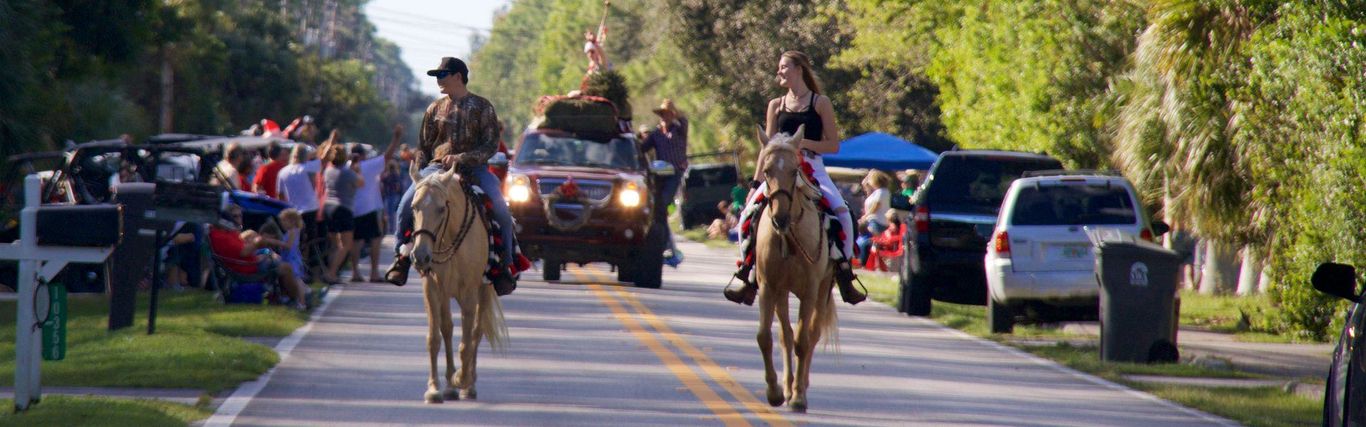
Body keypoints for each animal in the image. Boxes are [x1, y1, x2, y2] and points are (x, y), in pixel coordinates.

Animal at [412, 166, 510, 401]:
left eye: (441, 209)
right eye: (414, 207)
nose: (420, 256)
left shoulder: (469, 293)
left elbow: (467, 343)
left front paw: (461, 379)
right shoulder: (433, 289)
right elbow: (435, 337)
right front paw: (435, 388)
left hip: (484, 290)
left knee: (476, 331)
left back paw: (467, 385)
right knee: (447, 329)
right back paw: (449, 386)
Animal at [754, 124, 835, 411]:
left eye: (793, 170)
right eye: (767, 170)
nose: (780, 218)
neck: (788, 236)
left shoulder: (810, 291)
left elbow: (803, 340)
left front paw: (799, 397)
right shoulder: (768, 287)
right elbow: (766, 337)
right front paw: (775, 392)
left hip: (822, 290)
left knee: (811, 333)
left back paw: (800, 388)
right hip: (781, 293)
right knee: (785, 335)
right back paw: (787, 388)